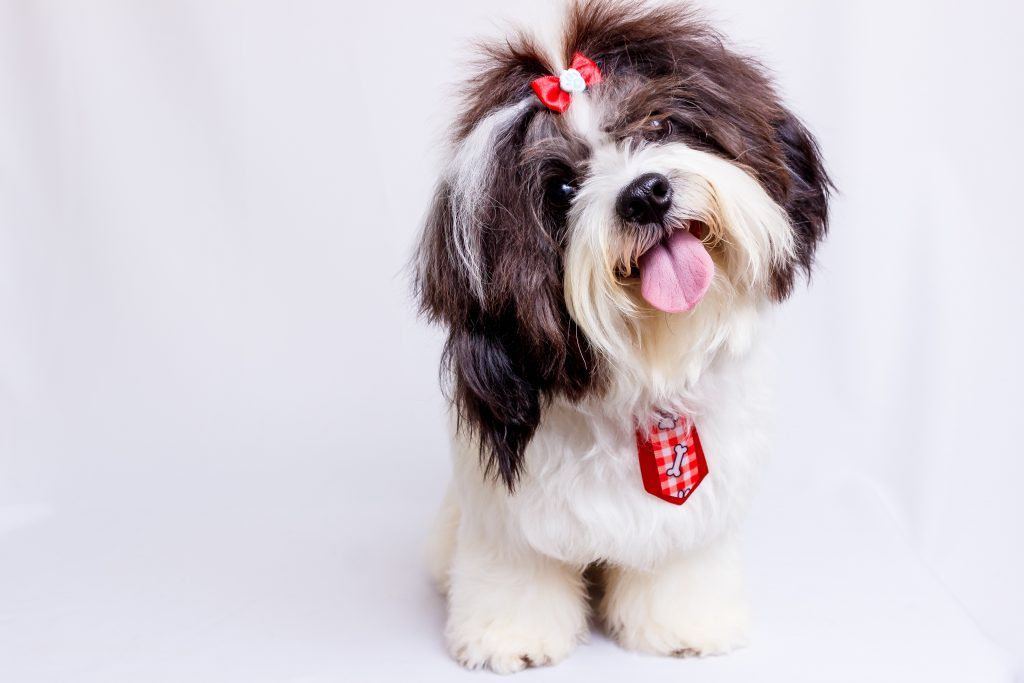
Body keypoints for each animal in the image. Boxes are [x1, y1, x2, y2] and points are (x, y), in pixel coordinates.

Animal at [413, 0, 831, 671]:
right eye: (560, 188)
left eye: (659, 124)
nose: (645, 194)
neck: (646, 371)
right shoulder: (505, 514)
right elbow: (514, 568)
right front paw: (511, 638)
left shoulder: (693, 515)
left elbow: (681, 564)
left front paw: (686, 627)